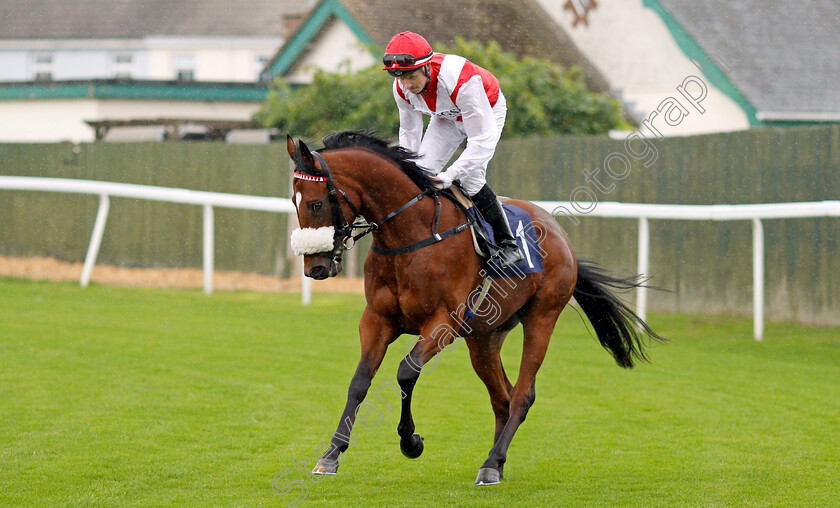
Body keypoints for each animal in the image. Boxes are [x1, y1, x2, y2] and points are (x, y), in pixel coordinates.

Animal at [286, 130, 668, 484]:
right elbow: (359, 381)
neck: (410, 236)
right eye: (294, 200)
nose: (314, 268)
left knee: (522, 396)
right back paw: (496, 462)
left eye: (316, 204)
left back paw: (491, 462)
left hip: (542, 316)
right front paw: (331, 455)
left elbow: (406, 371)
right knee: (503, 397)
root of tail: (559, 231)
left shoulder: (443, 323)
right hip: (484, 338)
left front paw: (411, 442)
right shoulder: (377, 320)